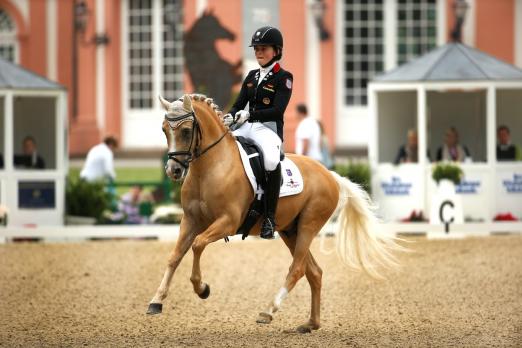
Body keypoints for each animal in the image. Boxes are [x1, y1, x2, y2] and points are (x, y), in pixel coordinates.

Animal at [148, 94, 400, 334]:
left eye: (186, 130)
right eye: (163, 129)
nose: (173, 170)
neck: (211, 167)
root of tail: (329, 175)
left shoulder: (227, 222)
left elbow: (198, 244)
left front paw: (202, 289)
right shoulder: (190, 221)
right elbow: (175, 256)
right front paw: (156, 301)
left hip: (308, 225)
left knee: (297, 269)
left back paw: (269, 311)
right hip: (290, 231)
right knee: (314, 272)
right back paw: (310, 323)